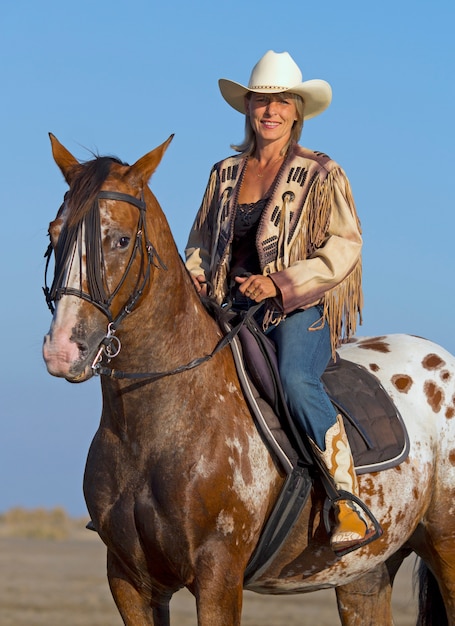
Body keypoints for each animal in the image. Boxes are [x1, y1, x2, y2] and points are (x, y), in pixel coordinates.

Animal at [41, 134, 455, 620]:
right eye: (53, 235)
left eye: (122, 239)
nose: (63, 349)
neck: (154, 426)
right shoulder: (129, 582)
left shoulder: (218, 575)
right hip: (365, 574)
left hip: (445, 548)